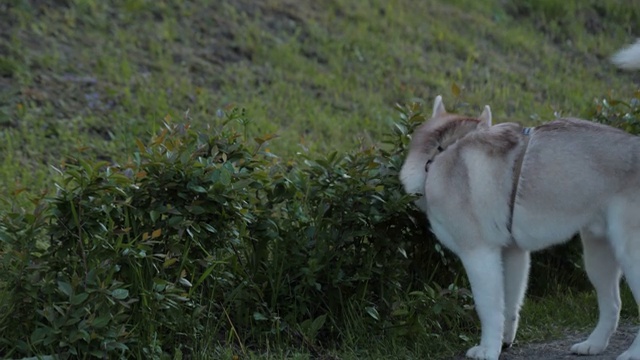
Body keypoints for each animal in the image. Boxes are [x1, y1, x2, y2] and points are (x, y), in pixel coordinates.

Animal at [402, 40, 640, 358]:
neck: (442, 152)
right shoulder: (512, 253)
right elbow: (509, 305)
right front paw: (504, 341)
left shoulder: (480, 255)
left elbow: (488, 309)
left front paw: (488, 349)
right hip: (598, 254)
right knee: (613, 303)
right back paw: (593, 344)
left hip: (630, 253)